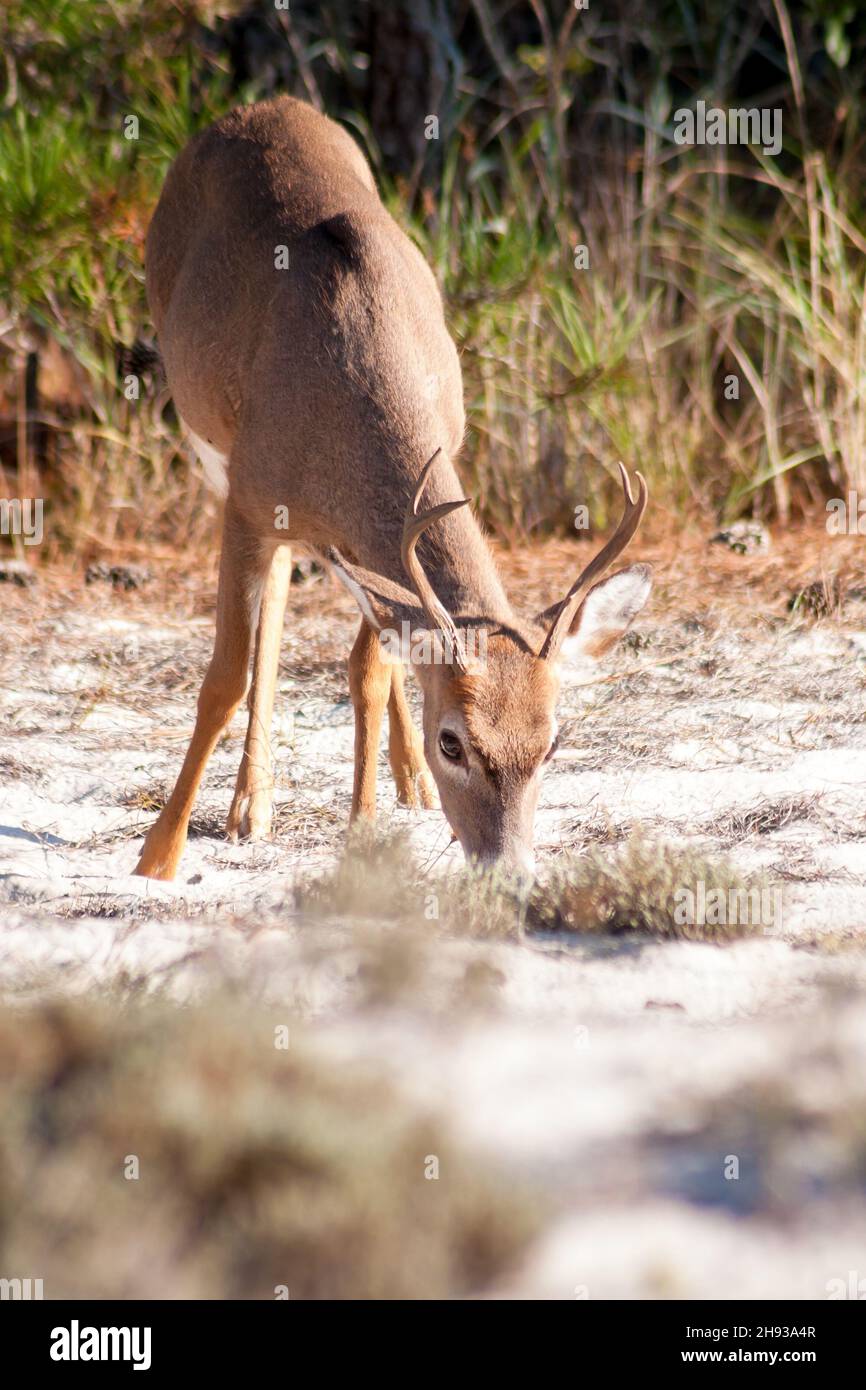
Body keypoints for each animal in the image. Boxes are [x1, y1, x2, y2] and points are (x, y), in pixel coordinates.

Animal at [134, 97, 650, 878]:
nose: (511, 872)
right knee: (272, 612)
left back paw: (389, 789)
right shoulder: (250, 499)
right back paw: (250, 808)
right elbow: (224, 678)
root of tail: (259, 107)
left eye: (552, 742)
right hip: (216, 452)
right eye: (454, 742)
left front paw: (365, 828)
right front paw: (156, 858)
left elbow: (372, 667)